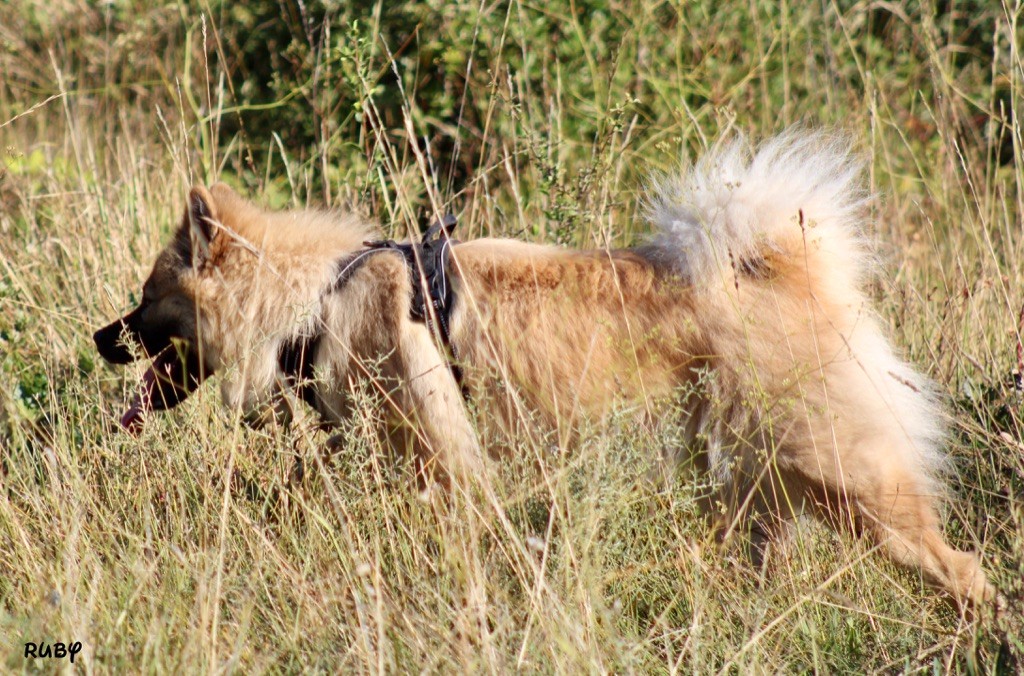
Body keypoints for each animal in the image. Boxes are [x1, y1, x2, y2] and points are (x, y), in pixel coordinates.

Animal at [94, 130, 991, 606]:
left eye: (147, 301)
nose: (101, 338)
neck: (315, 295)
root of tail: (789, 268)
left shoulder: (442, 461)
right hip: (756, 488)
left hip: (847, 477)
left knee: (961, 567)